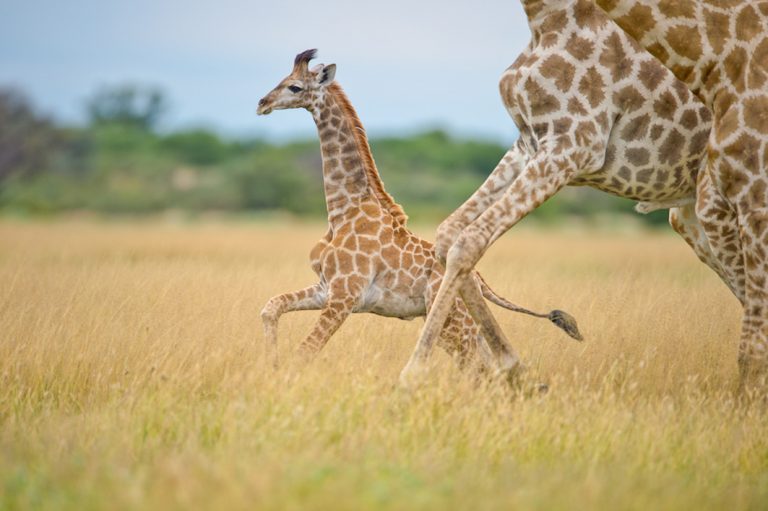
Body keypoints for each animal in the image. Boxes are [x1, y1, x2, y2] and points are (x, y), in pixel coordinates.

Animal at [258, 50, 584, 370]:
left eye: (294, 87)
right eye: (283, 79)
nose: (263, 103)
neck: (344, 209)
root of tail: (479, 281)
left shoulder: (345, 295)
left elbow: (305, 351)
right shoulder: (326, 288)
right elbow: (271, 307)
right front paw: (271, 363)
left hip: (452, 320)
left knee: (478, 364)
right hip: (454, 322)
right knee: (483, 362)